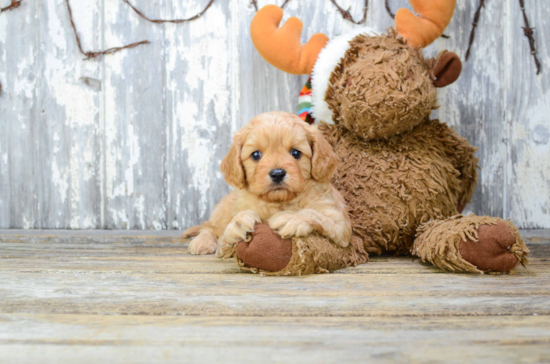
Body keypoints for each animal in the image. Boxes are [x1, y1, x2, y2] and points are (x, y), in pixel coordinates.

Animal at [183, 111, 352, 256]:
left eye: (295, 153)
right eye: (256, 155)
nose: (277, 173)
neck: (277, 202)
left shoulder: (341, 226)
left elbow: (313, 213)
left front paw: (291, 218)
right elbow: (226, 235)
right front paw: (238, 222)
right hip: (223, 208)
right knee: (209, 226)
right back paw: (201, 241)